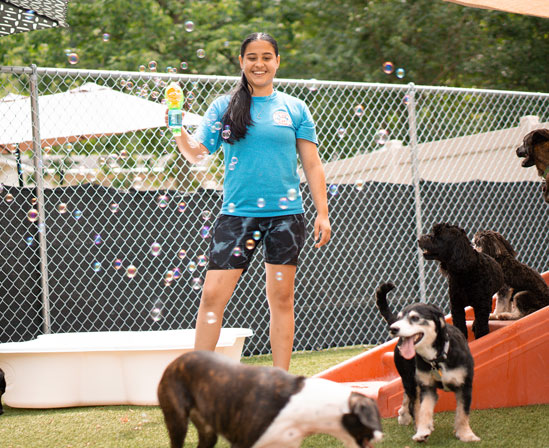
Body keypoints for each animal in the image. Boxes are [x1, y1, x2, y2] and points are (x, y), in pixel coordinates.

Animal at [386, 300, 480, 442]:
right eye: (399, 318)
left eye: (415, 318)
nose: (393, 328)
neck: (437, 358)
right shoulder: (427, 387)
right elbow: (424, 410)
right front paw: (422, 431)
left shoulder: (465, 386)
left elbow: (463, 412)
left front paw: (466, 434)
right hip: (409, 378)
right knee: (413, 402)